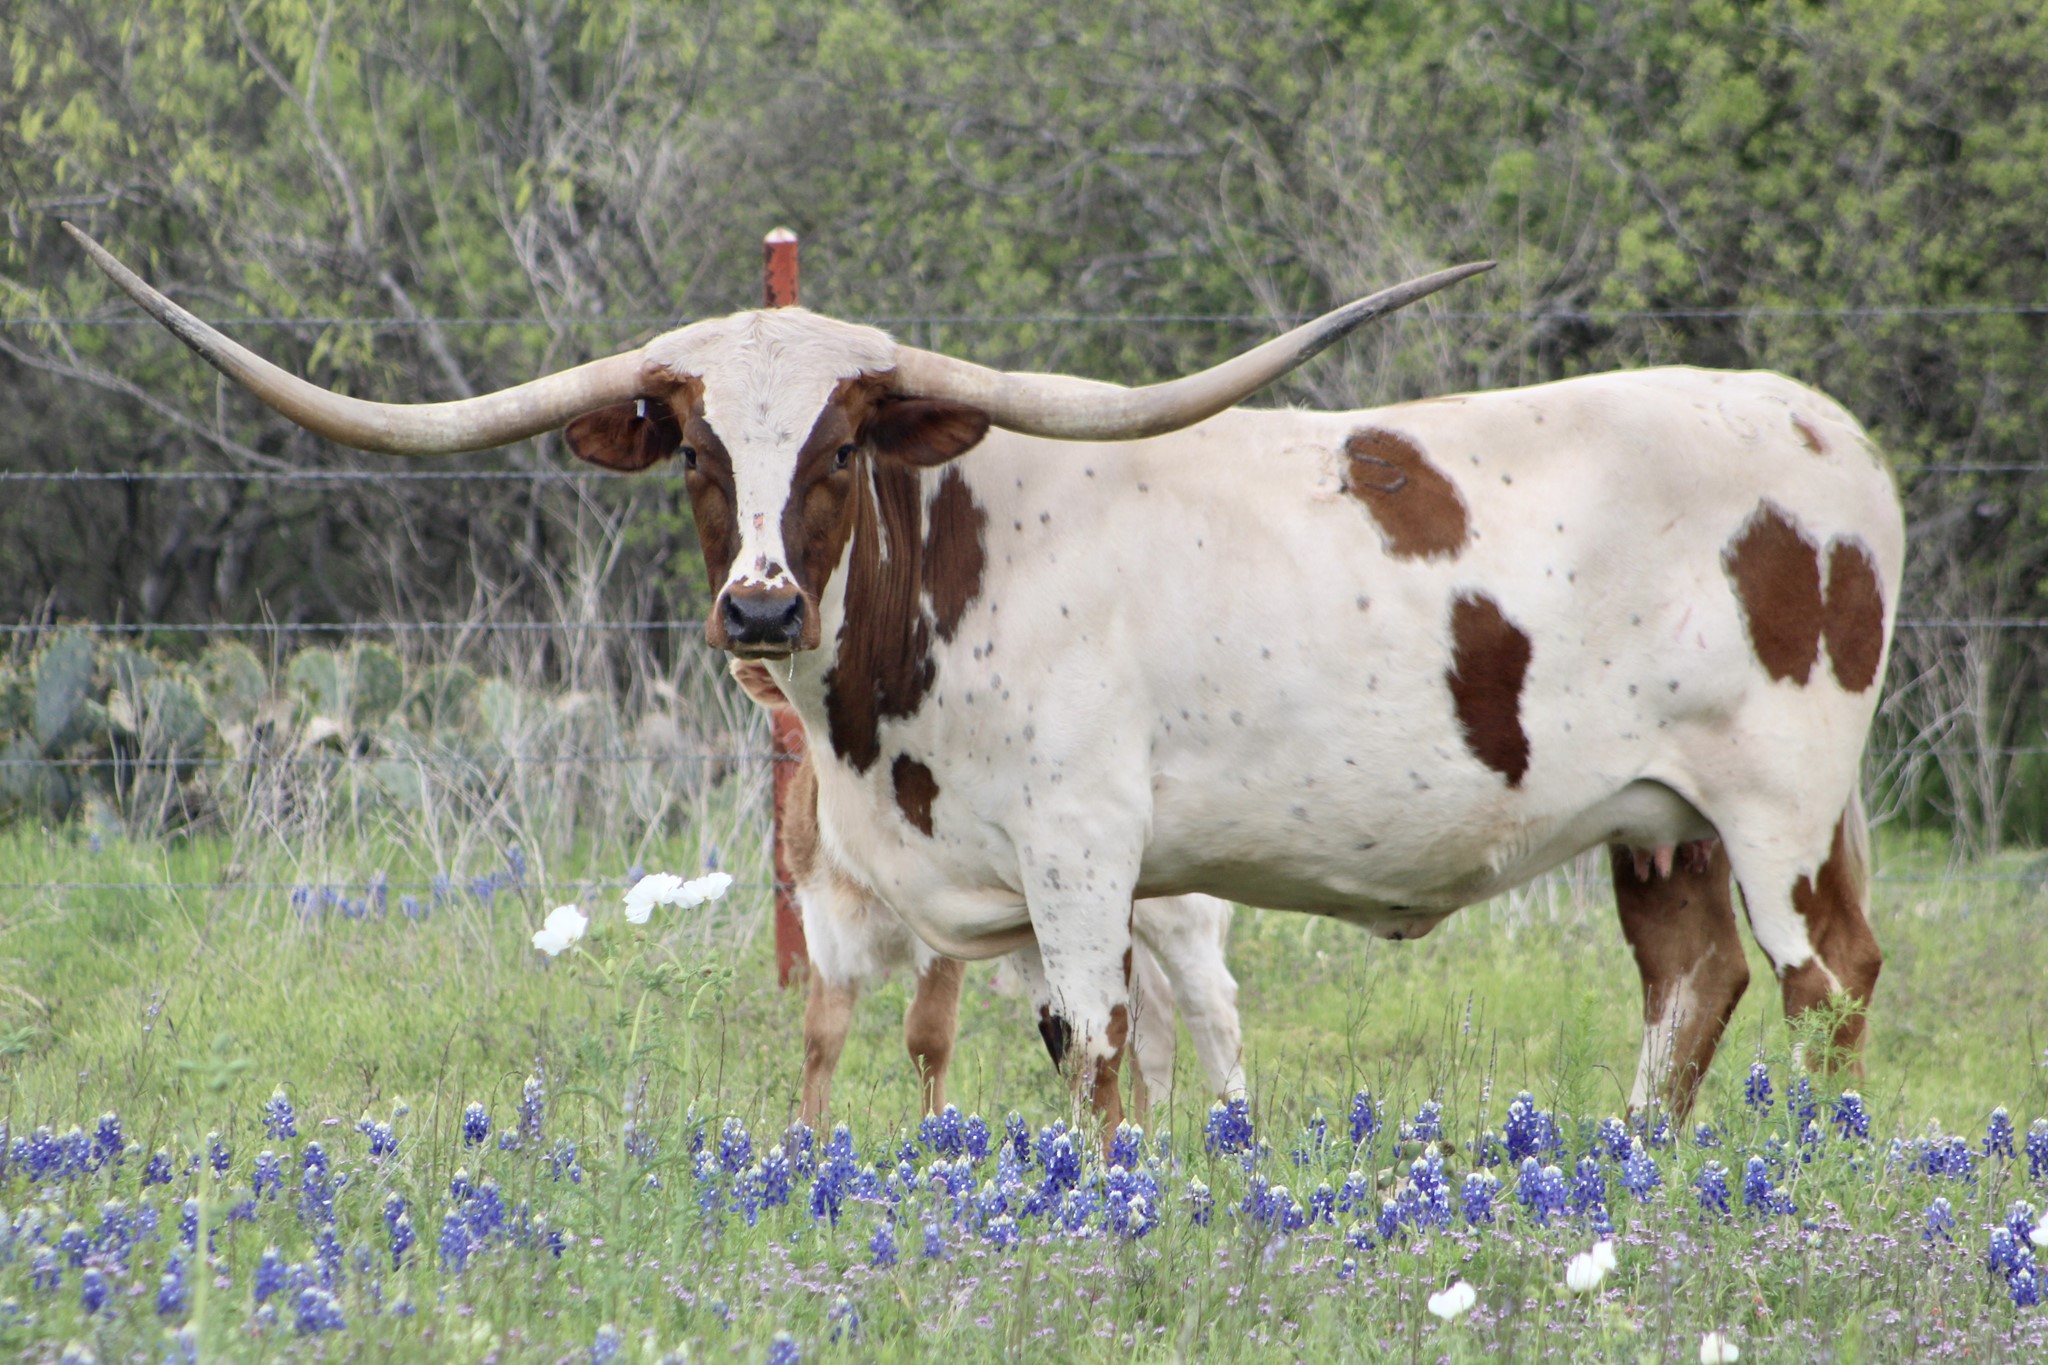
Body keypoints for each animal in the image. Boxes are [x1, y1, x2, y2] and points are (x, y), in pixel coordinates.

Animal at [730, 659, 1246, 1126]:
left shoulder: (943, 936)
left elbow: (928, 1034)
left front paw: (931, 1136)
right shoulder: (826, 928)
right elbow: (822, 1036)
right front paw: (809, 1144)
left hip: (1181, 910)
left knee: (1209, 1008)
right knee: (1151, 1020)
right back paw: (1149, 1140)